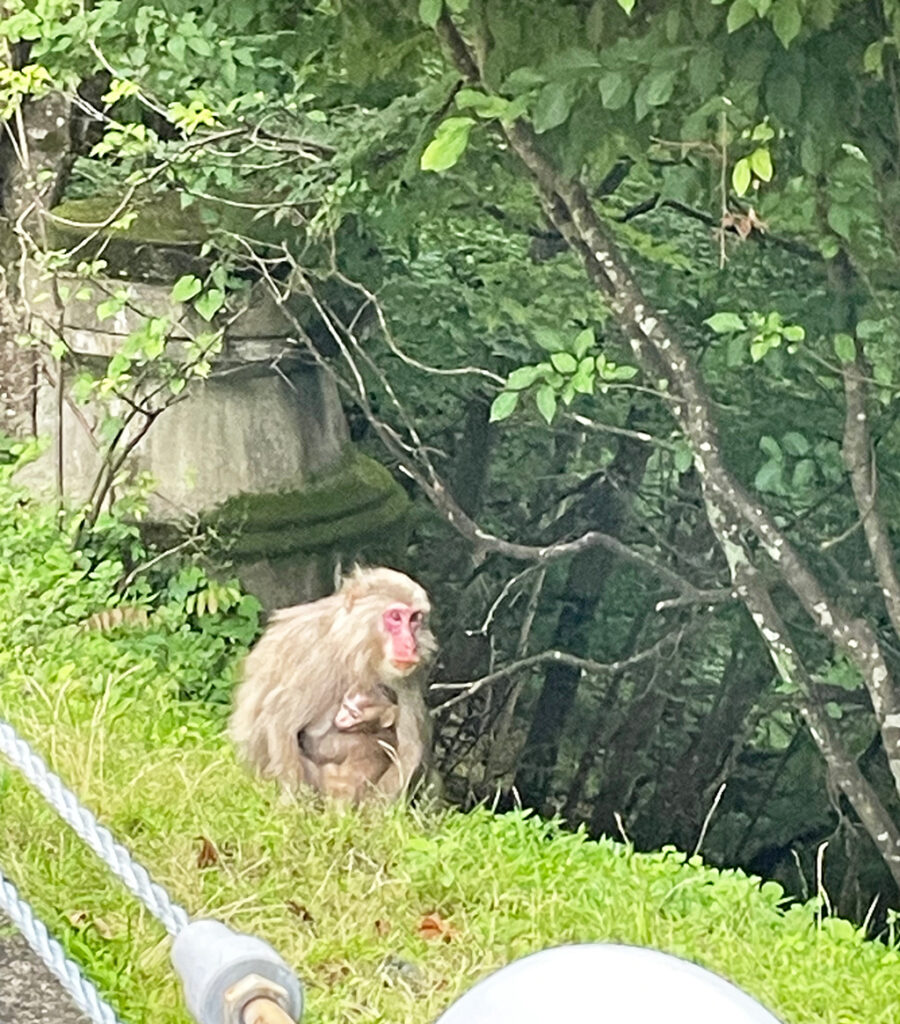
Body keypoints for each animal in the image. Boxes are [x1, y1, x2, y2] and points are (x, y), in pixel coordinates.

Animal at [227, 569, 434, 798]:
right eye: (396, 617)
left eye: (415, 618)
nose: (410, 645)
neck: (355, 649)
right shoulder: (318, 656)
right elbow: (281, 721)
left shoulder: (405, 675)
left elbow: (409, 748)